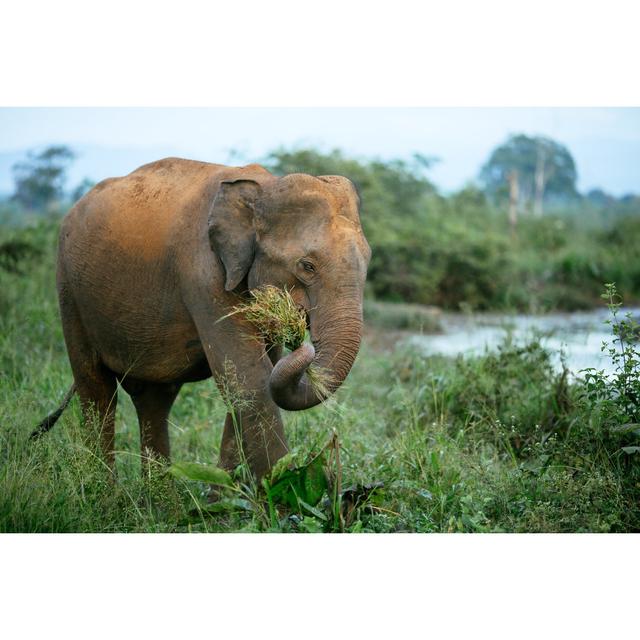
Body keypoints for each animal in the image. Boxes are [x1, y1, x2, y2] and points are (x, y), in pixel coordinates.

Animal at [33, 159, 370, 480]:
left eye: (367, 261)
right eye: (307, 266)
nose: (302, 343)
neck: (264, 188)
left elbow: (257, 373)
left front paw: (227, 496)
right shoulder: (204, 274)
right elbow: (248, 377)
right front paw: (284, 492)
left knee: (154, 399)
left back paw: (158, 498)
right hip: (69, 289)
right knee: (96, 390)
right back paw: (104, 493)